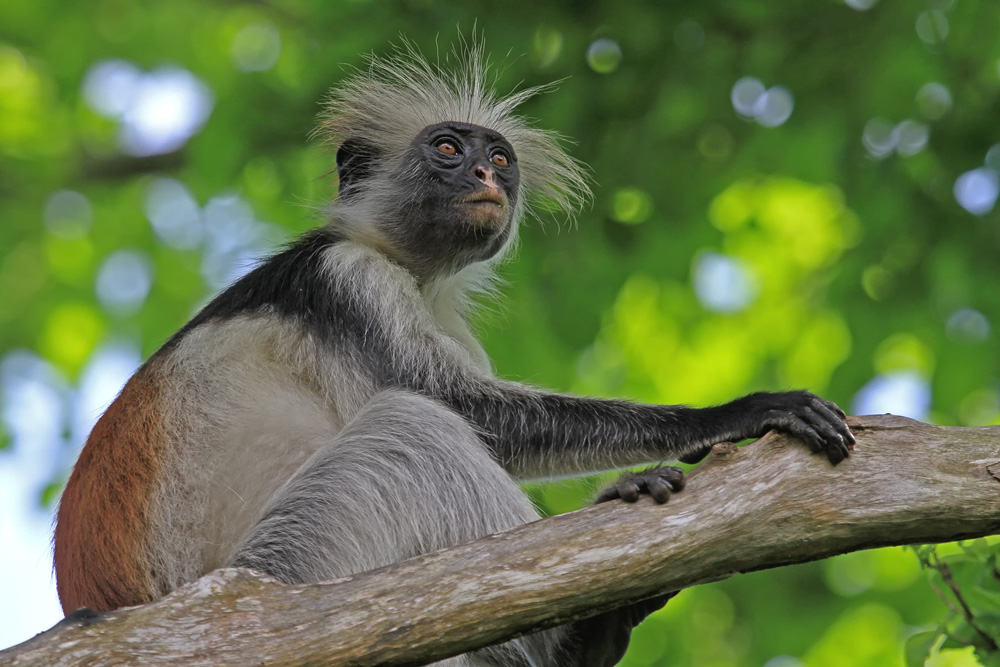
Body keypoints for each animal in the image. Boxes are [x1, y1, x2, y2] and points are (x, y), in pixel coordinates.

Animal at [54, 44, 852, 664]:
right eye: (447, 149)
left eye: (498, 156)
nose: (486, 177)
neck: (407, 265)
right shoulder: (349, 282)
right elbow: (466, 411)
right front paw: (733, 414)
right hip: (277, 577)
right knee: (414, 425)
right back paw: (577, 635)